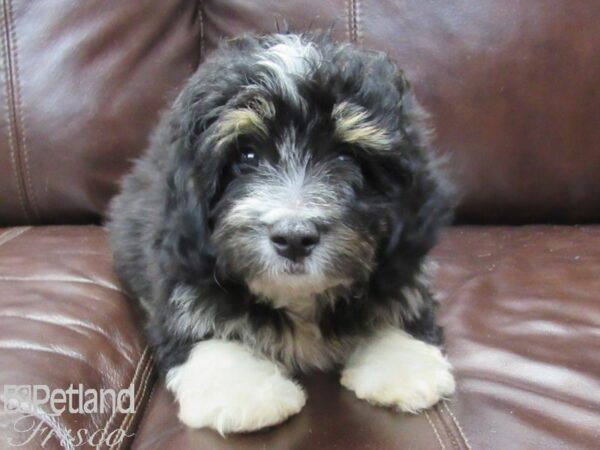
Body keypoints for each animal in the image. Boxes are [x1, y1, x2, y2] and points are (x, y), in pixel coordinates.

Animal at [108, 30, 454, 432]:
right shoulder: (181, 280)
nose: (294, 238)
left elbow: (403, 309)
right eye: (247, 157)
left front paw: (403, 366)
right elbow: (200, 335)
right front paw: (244, 392)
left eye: (346, 157)